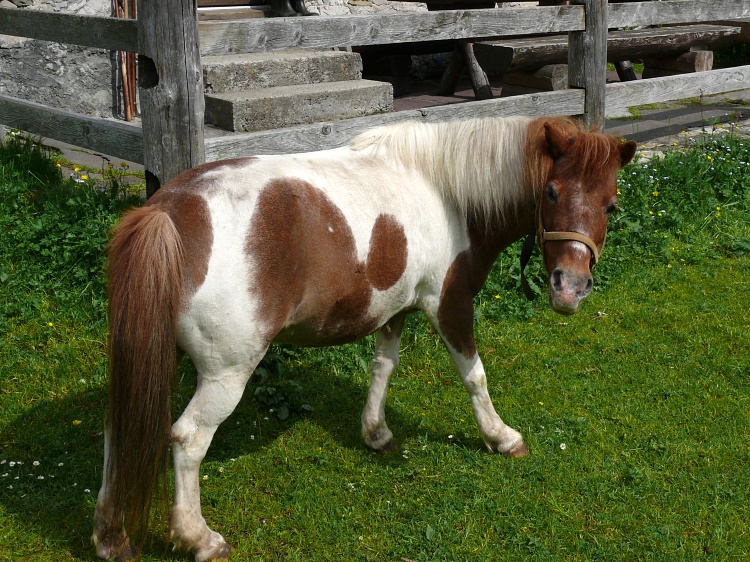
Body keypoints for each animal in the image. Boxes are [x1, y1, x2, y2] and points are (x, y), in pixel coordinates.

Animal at [92, 116, 636, 556]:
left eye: (611, 204)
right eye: (552, 192)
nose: (570, 288)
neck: (446, 191)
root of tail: (166, 212)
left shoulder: (395, 308)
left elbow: (383, 367)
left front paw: (375, 432)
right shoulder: (449, 306)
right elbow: (475, 377)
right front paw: (501, 437)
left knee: (118, 429)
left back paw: (110, 537)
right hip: (227, 373)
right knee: (186, 439)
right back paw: (198, 537)